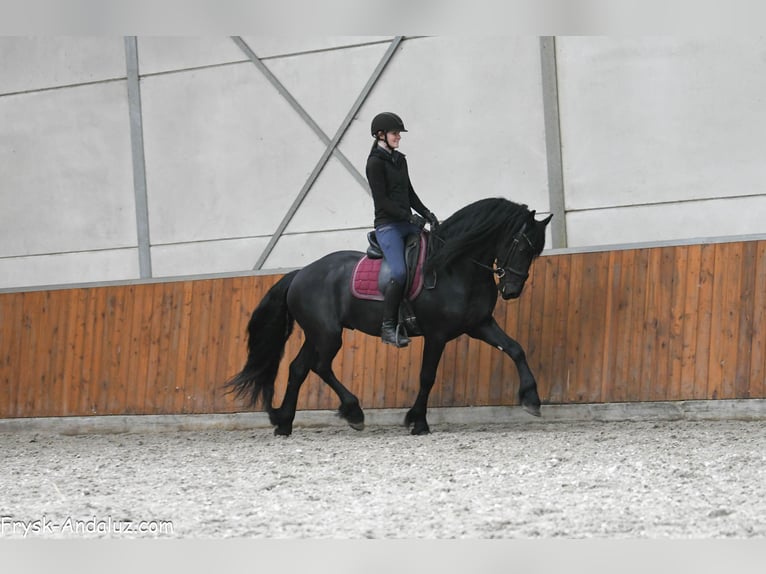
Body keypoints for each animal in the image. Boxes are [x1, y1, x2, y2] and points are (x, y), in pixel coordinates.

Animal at [225, 197, 553, 435]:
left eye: (534, 251)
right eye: (520, 245)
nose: (511, 290)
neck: (455, 267)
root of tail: (300, 273)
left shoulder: (480, 324)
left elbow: (515, 349)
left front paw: (532, 399)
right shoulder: (437, 335)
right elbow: (427, 376)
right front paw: (418, 422)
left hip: (316, 334)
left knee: (298, 369)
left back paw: (284, 424)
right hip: (328, 334)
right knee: (320, 366)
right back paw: (353, 412)